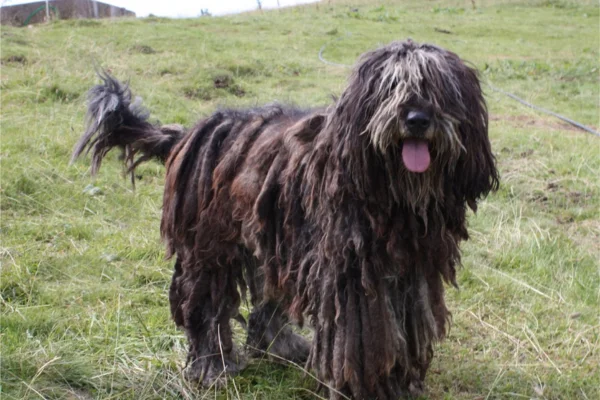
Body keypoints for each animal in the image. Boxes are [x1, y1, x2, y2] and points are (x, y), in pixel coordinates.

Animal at [72, 39, 500, 398]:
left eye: (439, 88)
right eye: (390, 86)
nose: (416, 119)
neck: (393, 197)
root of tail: (188, 133)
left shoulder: (410, 272)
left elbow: (403, 330)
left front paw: (400, 382)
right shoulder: (351, 277)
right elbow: (364, 340)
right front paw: (370, 388)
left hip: (276, 243)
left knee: (267, 304)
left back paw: (284, 346)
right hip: (210, 244)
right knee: (204, 306)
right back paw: (212, 366)